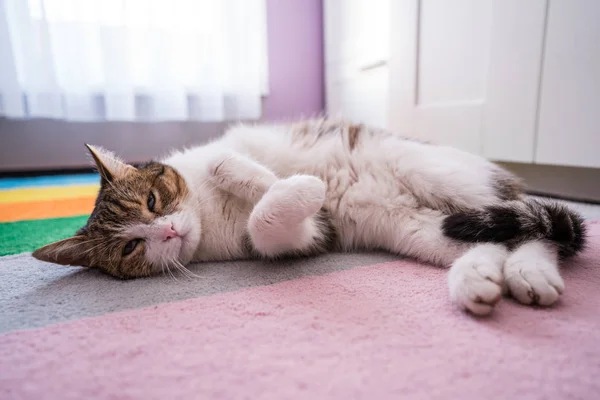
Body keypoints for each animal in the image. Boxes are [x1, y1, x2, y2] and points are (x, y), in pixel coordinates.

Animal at [32, 119, 584, 316]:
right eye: (131, 246)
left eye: (152, 202)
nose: (166, 229)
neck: (207, 214)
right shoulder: (305, 236)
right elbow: (270, 226)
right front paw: (302, 191)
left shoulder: (230, 148)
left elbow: (227, 162)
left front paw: (292, 182)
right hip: (421, 229)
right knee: (493, 237)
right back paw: (485, 277)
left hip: (440, 175)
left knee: (540, 226)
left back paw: (530, 270)